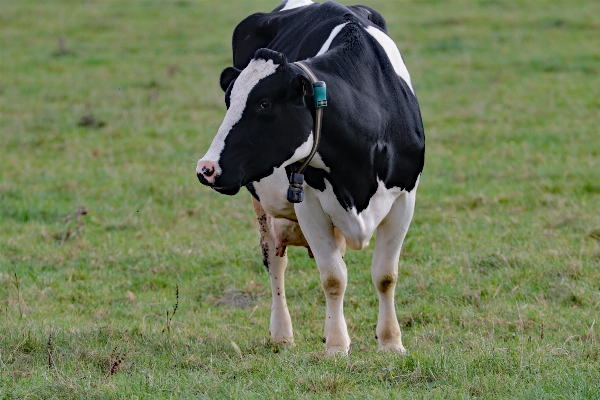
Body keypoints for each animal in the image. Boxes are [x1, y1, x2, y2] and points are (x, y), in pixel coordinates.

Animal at [196, 0, 422, 354]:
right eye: (229, 101)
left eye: (264, 103)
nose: (206, 168)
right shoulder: (308, 202)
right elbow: (333, 278)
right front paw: (336, 346)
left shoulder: (405, 196)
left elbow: (386, 275)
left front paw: (390, 342)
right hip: (262, 205)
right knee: (276, 263)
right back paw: (282, 334)